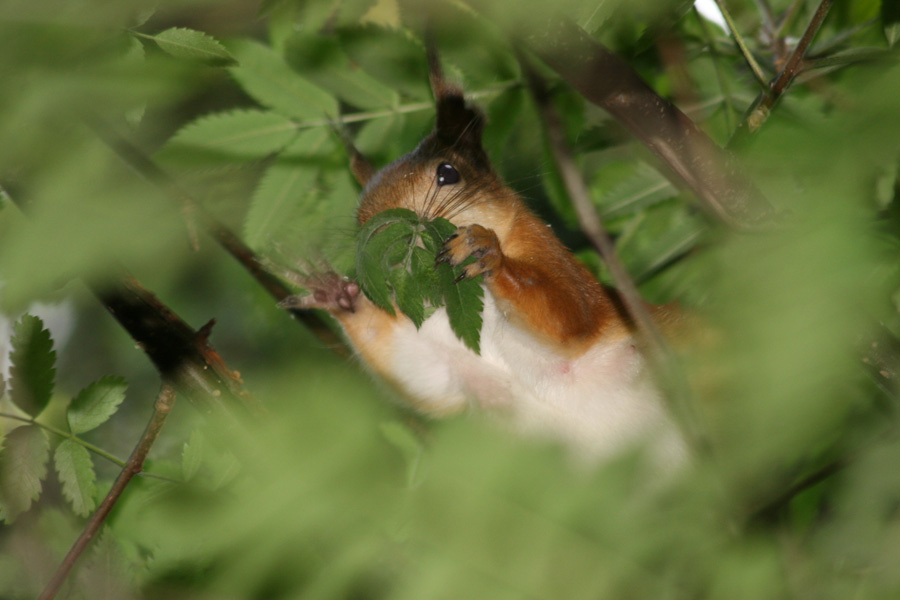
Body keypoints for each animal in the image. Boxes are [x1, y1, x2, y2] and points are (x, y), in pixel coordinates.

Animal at [282, 60, 688, 465]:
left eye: (448, 172)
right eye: (361, 221)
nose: (389, 241)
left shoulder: (569, 273)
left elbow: (570, 317)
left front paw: (487, 253)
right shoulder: (453, 359)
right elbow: (419, 369)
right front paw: (336, 294)